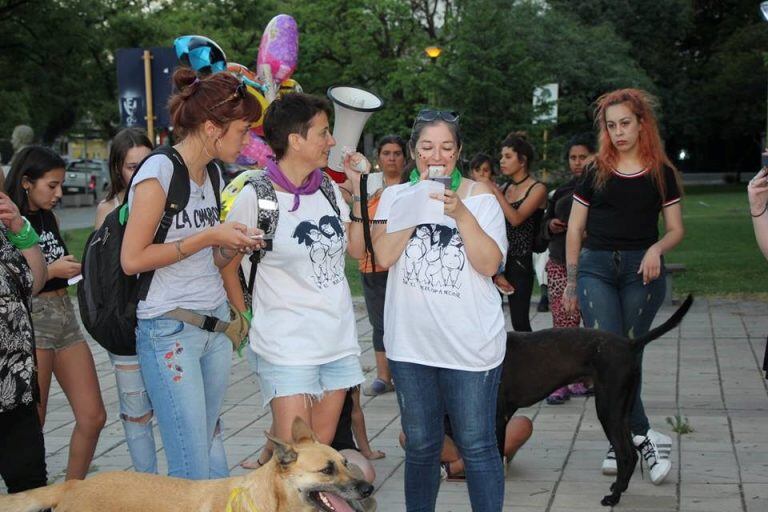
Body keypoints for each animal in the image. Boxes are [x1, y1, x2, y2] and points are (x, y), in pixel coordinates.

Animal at [496, 294, 692, 506]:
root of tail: (629, 344)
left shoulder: (497, 418)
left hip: (607, 409)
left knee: (626, 454)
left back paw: (614, 498)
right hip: (622, 411)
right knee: (630, 453)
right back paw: (618, 488)